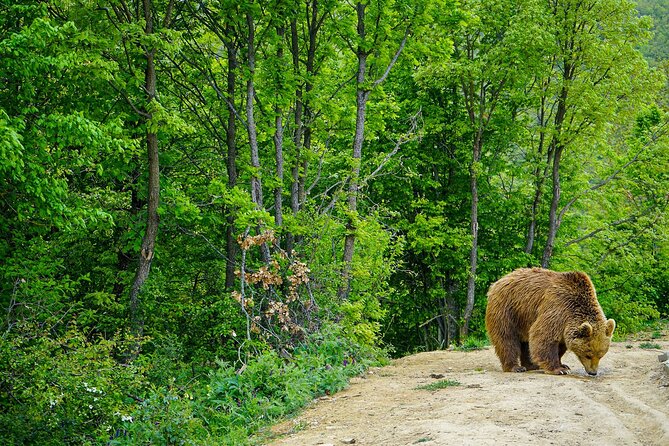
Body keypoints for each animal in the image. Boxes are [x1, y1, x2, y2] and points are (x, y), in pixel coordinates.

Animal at [482, 268, 612, 376]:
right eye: (588, 354)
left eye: (601, 355)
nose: (593, 372)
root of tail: (498, 282)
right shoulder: (557, 308)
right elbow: (544, 335)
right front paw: (559, 369)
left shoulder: (565, 323)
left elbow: (560, 344)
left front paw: (563, 365)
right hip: (507, 309)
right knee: (506, 338)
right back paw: (515, 367)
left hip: (524, 318)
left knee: (526, 341)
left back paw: (532, 365)